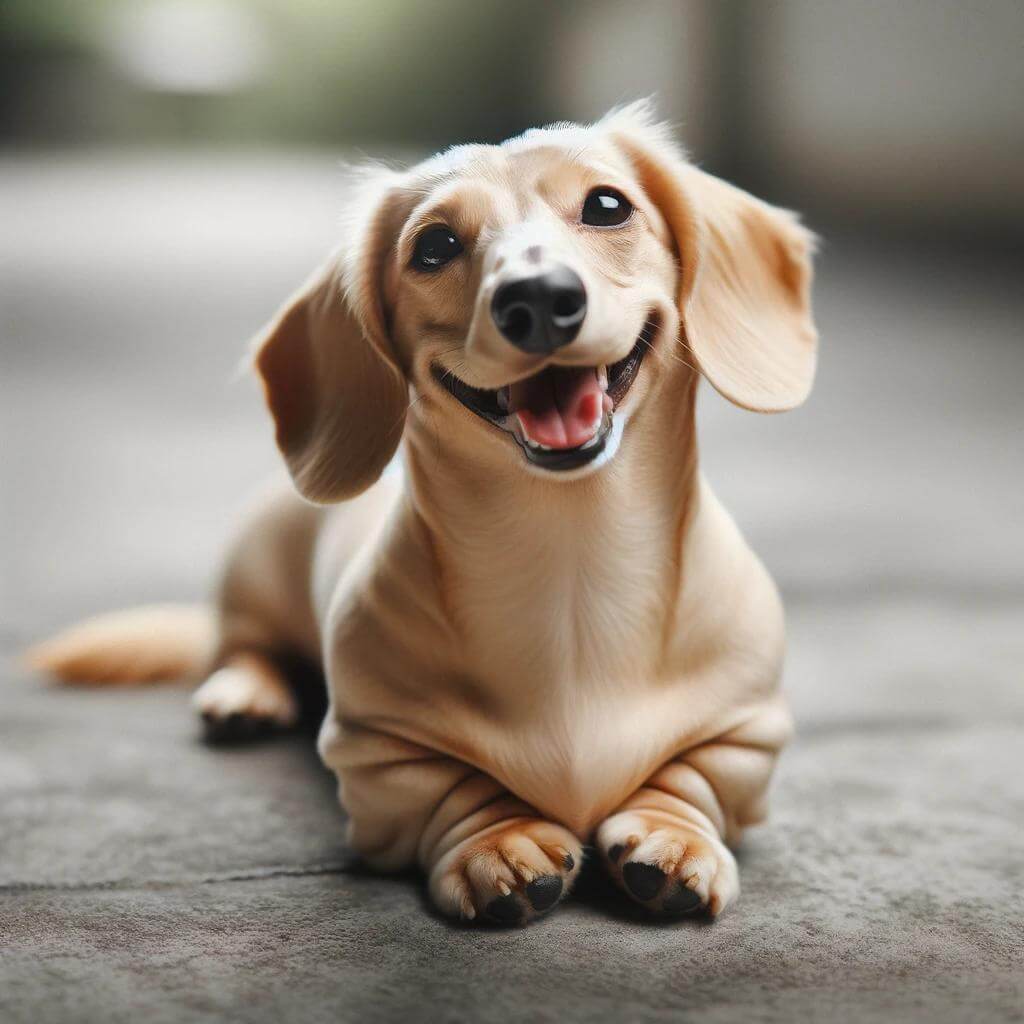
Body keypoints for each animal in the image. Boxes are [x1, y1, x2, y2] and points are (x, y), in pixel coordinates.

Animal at [28, 103, 819, 929]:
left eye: (608, 206)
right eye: (434, 245)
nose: (538, 299)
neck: (572, 560)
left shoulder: (748, 731)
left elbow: (693, 775)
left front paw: (672, 838)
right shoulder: (378, 746)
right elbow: (453, 785)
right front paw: (501, 843)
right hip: (253, 573)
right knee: (241, 644)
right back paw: (244, 694)